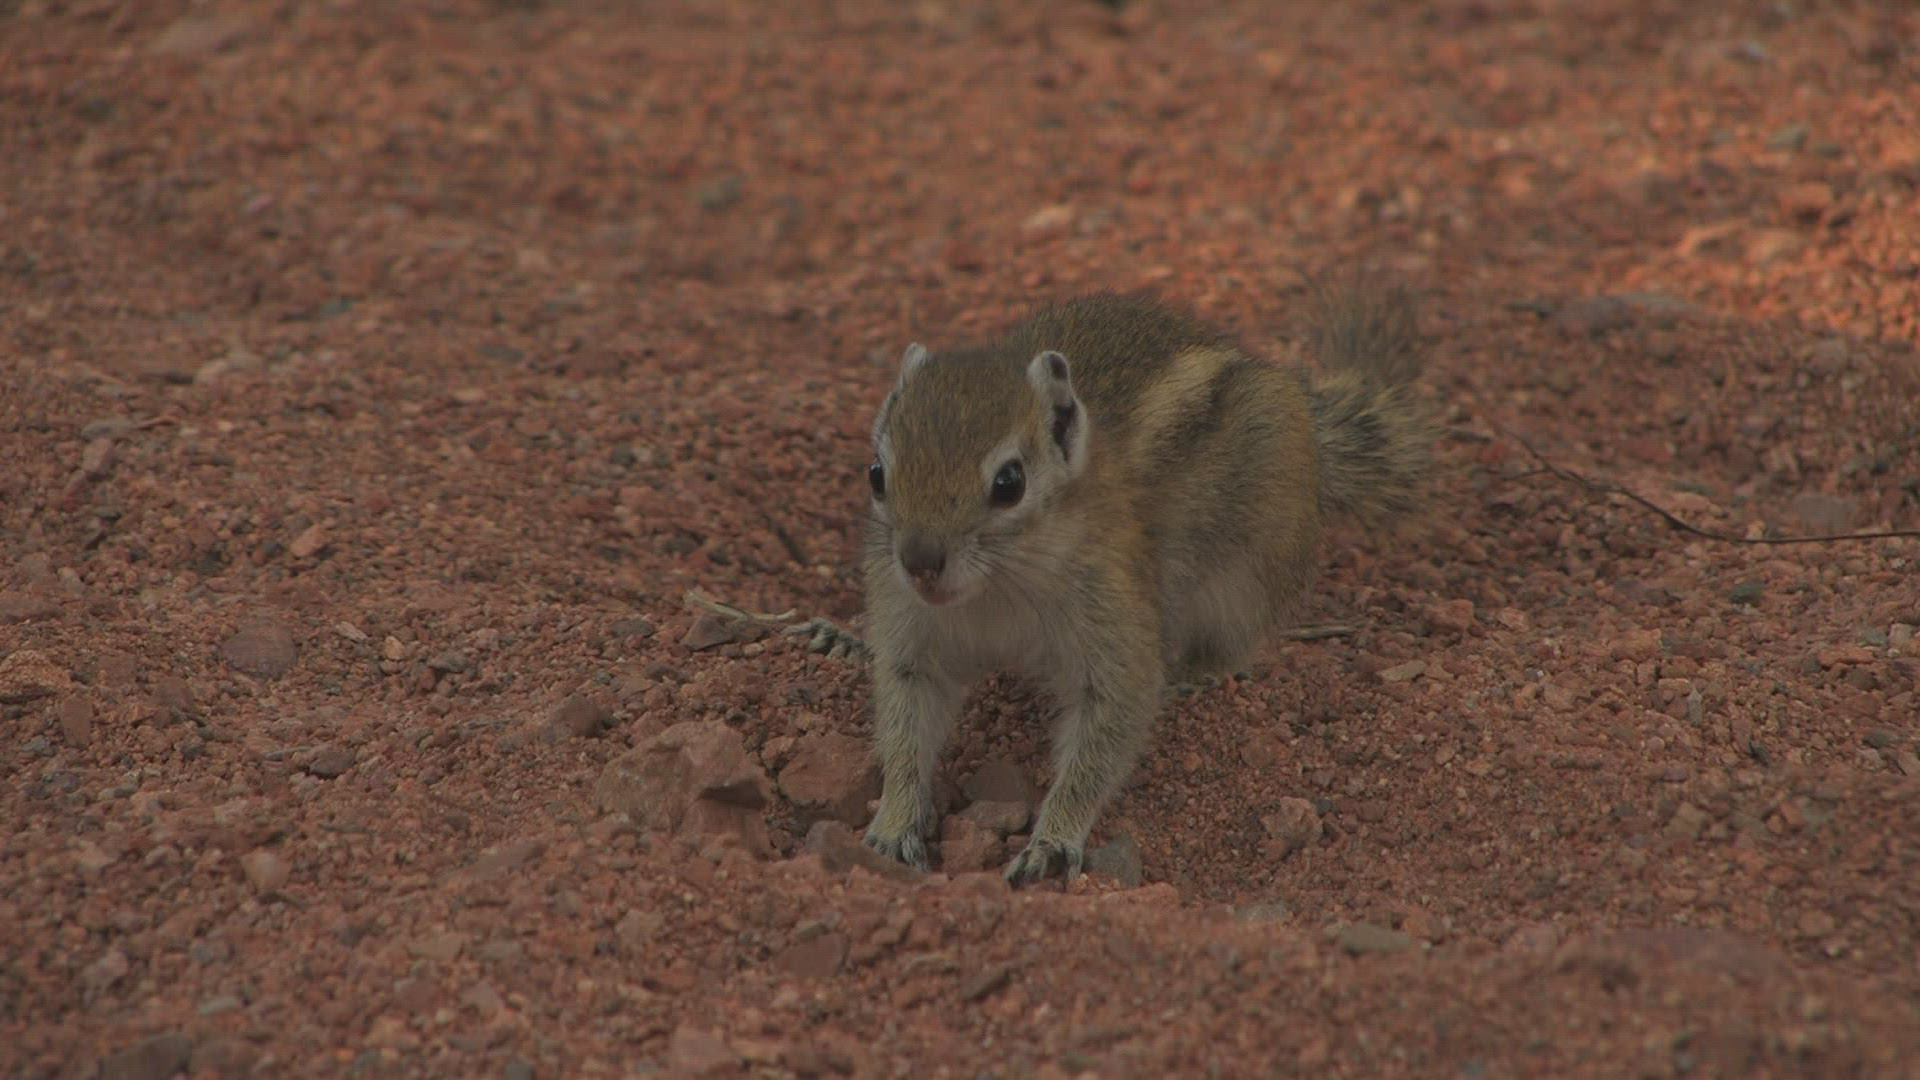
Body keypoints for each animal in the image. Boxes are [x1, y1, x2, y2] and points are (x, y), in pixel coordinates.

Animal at [807, 279, 1437, 885]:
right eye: (877, 474)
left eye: (1010, 482)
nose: (920, 562)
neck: (996, 593)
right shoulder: (912, 638)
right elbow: (903, 733)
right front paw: (893, 823)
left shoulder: (1115, 633)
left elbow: (1103, 740)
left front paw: (1052, 842)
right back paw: (839, 637)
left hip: (1246, 581)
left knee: (1237, 644)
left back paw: (1192, 677)